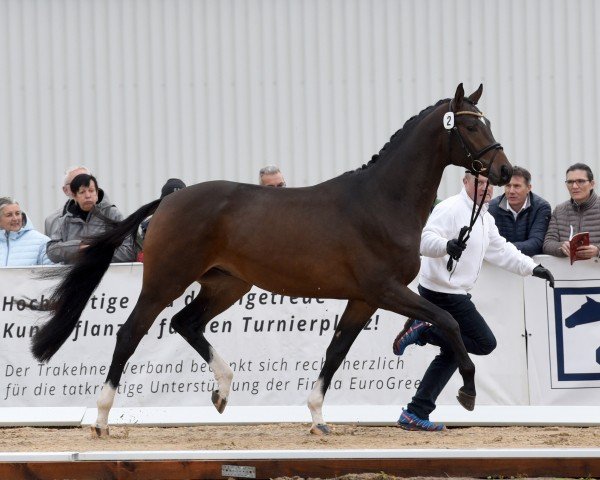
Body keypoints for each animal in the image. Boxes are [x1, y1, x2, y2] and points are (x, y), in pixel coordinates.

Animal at [31, 82, 510, 436]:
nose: (505, 171)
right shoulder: (386, 290)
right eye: (470, 128)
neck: (381, 201)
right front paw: (468, 391)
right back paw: (101, 419)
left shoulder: (362, 299)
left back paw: (223, 393)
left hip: (226, 283)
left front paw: (317, 418)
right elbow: (448, 322)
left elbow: (337, 350)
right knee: (131, 332)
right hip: (166, 280)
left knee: (187, 323)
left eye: (486, 122)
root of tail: (168, 201)